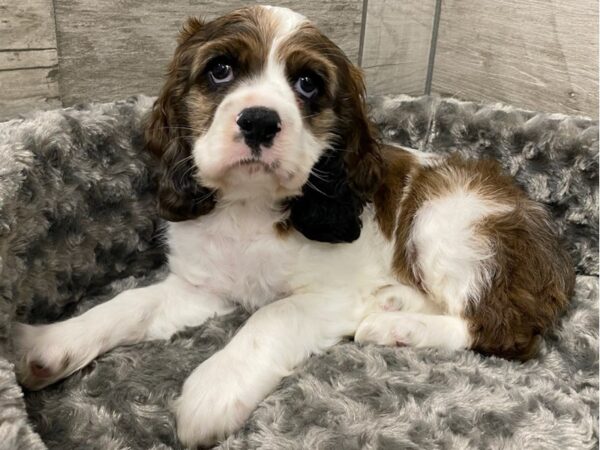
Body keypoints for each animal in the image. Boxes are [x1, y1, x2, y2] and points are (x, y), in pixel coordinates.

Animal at [16, 5, 576, 448]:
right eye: (220, 70)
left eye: (308, 84)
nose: (260, 121)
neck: (250, 207)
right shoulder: (201, 287)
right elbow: (131, 304)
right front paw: (49, 343)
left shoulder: (332, 294)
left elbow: (272, 316)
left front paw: (213, 388)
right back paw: (395, 303)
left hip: (452, 220)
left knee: (501, 329)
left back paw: (397, 326)